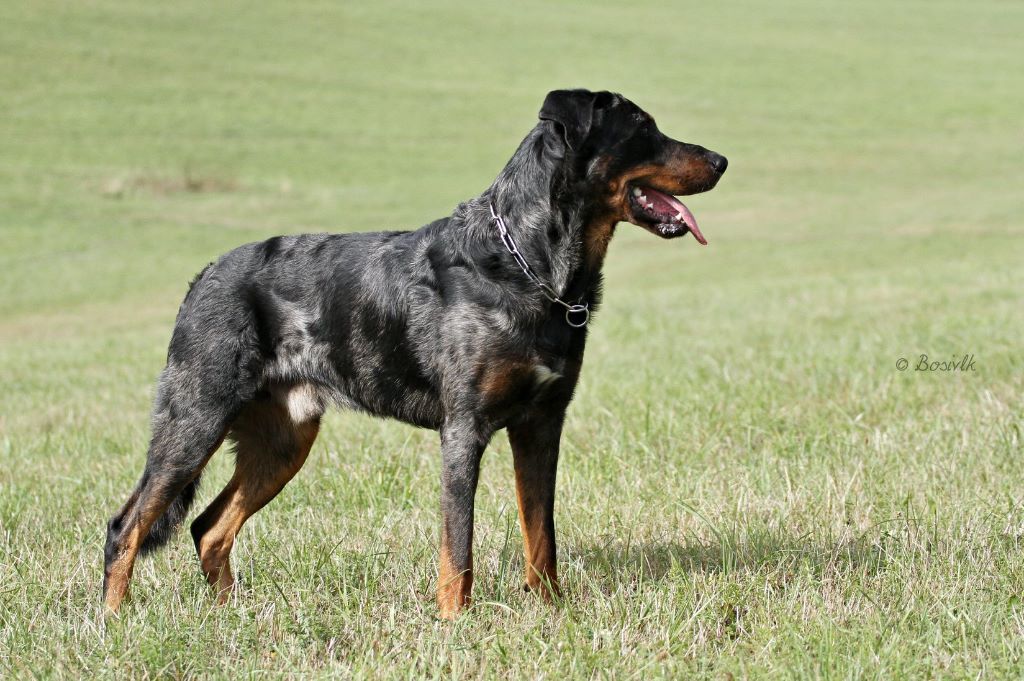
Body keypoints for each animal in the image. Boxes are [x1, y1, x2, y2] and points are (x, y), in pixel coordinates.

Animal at [101, 89, 729, 614]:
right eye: (643, 128)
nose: (722, 160)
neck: (529, 264)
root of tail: (202, 277)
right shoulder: (464, 430)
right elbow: (459, 548)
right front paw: (455, 624)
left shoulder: (541, 424)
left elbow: (541, 534)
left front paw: (552, 611)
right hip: (194, 420)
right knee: (126, 526)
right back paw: (114, 620)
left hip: (283, 441)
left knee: (208, 528)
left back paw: (231, 616)